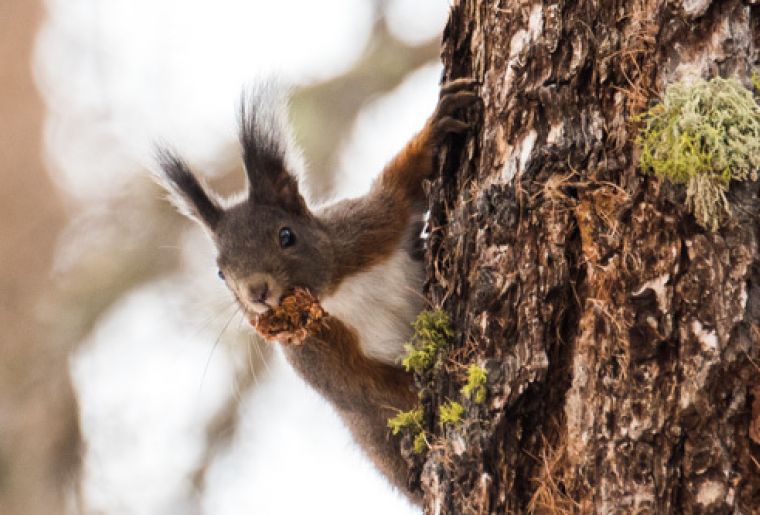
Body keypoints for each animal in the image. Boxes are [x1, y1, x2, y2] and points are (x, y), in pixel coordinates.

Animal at [157, 77, 478, 504]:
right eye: (221, 273)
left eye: (286, 236)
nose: (257, 292)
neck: (334, 293)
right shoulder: (317, 356)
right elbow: (364, 388)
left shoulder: (366, 229)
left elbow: (397, 188)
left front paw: (438, 126)